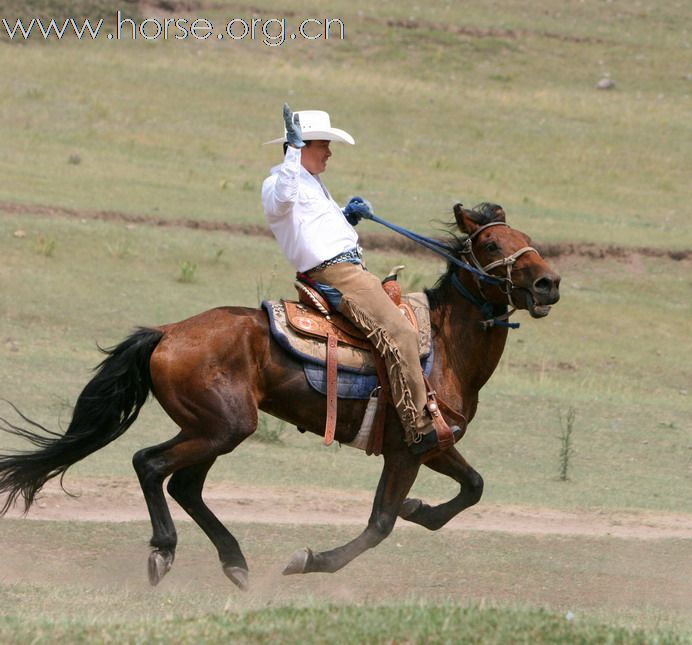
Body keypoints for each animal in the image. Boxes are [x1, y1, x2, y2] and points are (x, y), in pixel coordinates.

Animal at [0, 201, 560, 588]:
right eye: (492, 246)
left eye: (529, 239)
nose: (549, 283)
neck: (442, 344)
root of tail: (167, 332)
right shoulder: (408, 449)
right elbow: (379, 524)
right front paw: (310, 560)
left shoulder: (436, 444)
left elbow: (474, 486)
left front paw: (419, 510)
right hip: (223, 427)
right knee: (150, 465)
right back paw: (166, 550)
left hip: (212, 430)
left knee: (185, 486)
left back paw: (235, 562)